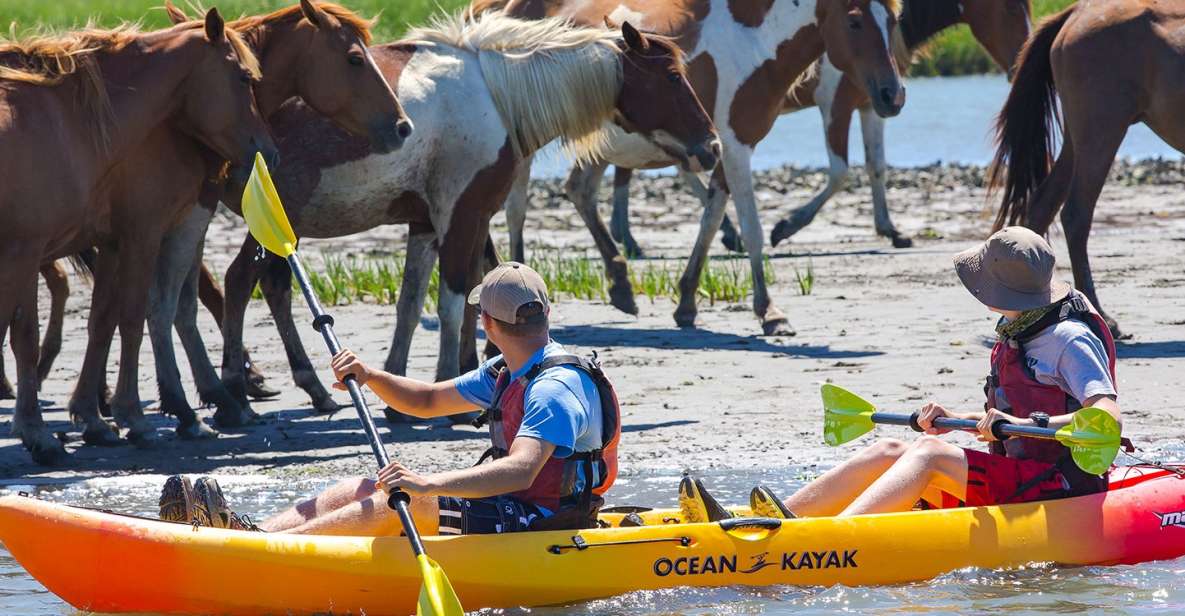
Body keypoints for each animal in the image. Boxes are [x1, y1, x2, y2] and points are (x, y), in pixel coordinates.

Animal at [0, 9, 274, 464]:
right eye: (242, 77)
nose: (268, 152)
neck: (62, 122)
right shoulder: (40, 250)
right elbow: (124, 319)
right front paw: (127, 419)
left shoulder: (103, 243)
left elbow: (98, 322)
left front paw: (89, 421)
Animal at [209, 10, 715, 419]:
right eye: (673, 76)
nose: (711, 147)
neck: (493, 96)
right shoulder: (463, 215)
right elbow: (453, 302)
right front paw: (450, 383)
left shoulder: (431, 224)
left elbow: (415, 303)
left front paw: (400, 391)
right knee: (239, 281)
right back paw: (233, 396)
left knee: (268, 286)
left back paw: (308, 388)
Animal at [495, 0, 900, 336]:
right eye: (855, 22)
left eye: (893, 20)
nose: (892, 95)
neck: (755, 44)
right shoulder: (736, 147)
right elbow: (752, 228)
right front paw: (770, 311)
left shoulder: (722, 149)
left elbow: (710, 219)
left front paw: (687, 303)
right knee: (517, 210)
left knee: (579, 191)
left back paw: (621, 286)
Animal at [985, 0, 1185, 336]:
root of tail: (1078, 11)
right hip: (1100, 133)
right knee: (1076, 214)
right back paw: (1100, 313)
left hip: (1076, 141)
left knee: (1043, 205)